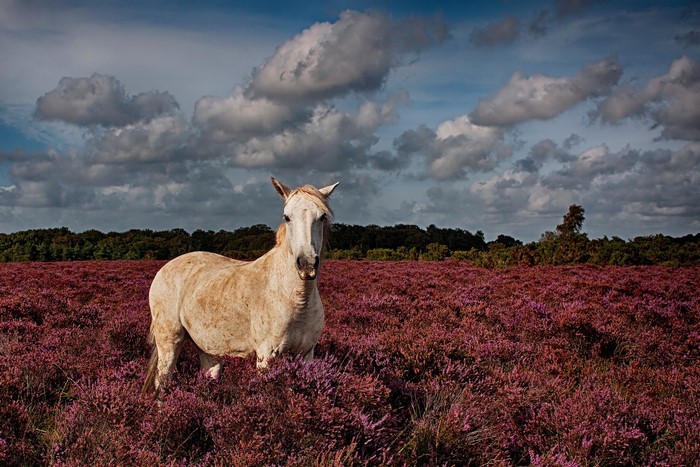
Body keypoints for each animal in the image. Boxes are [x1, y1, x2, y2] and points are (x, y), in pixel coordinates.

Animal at [142, 177, 339, 394]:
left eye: (322, 216)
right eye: (287, 217)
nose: (307, 264)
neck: (297, 298)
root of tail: (164, 268)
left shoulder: (305, 355)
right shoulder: (266, 355)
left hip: (206, 346)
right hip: (169, 339)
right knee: (162, 381)